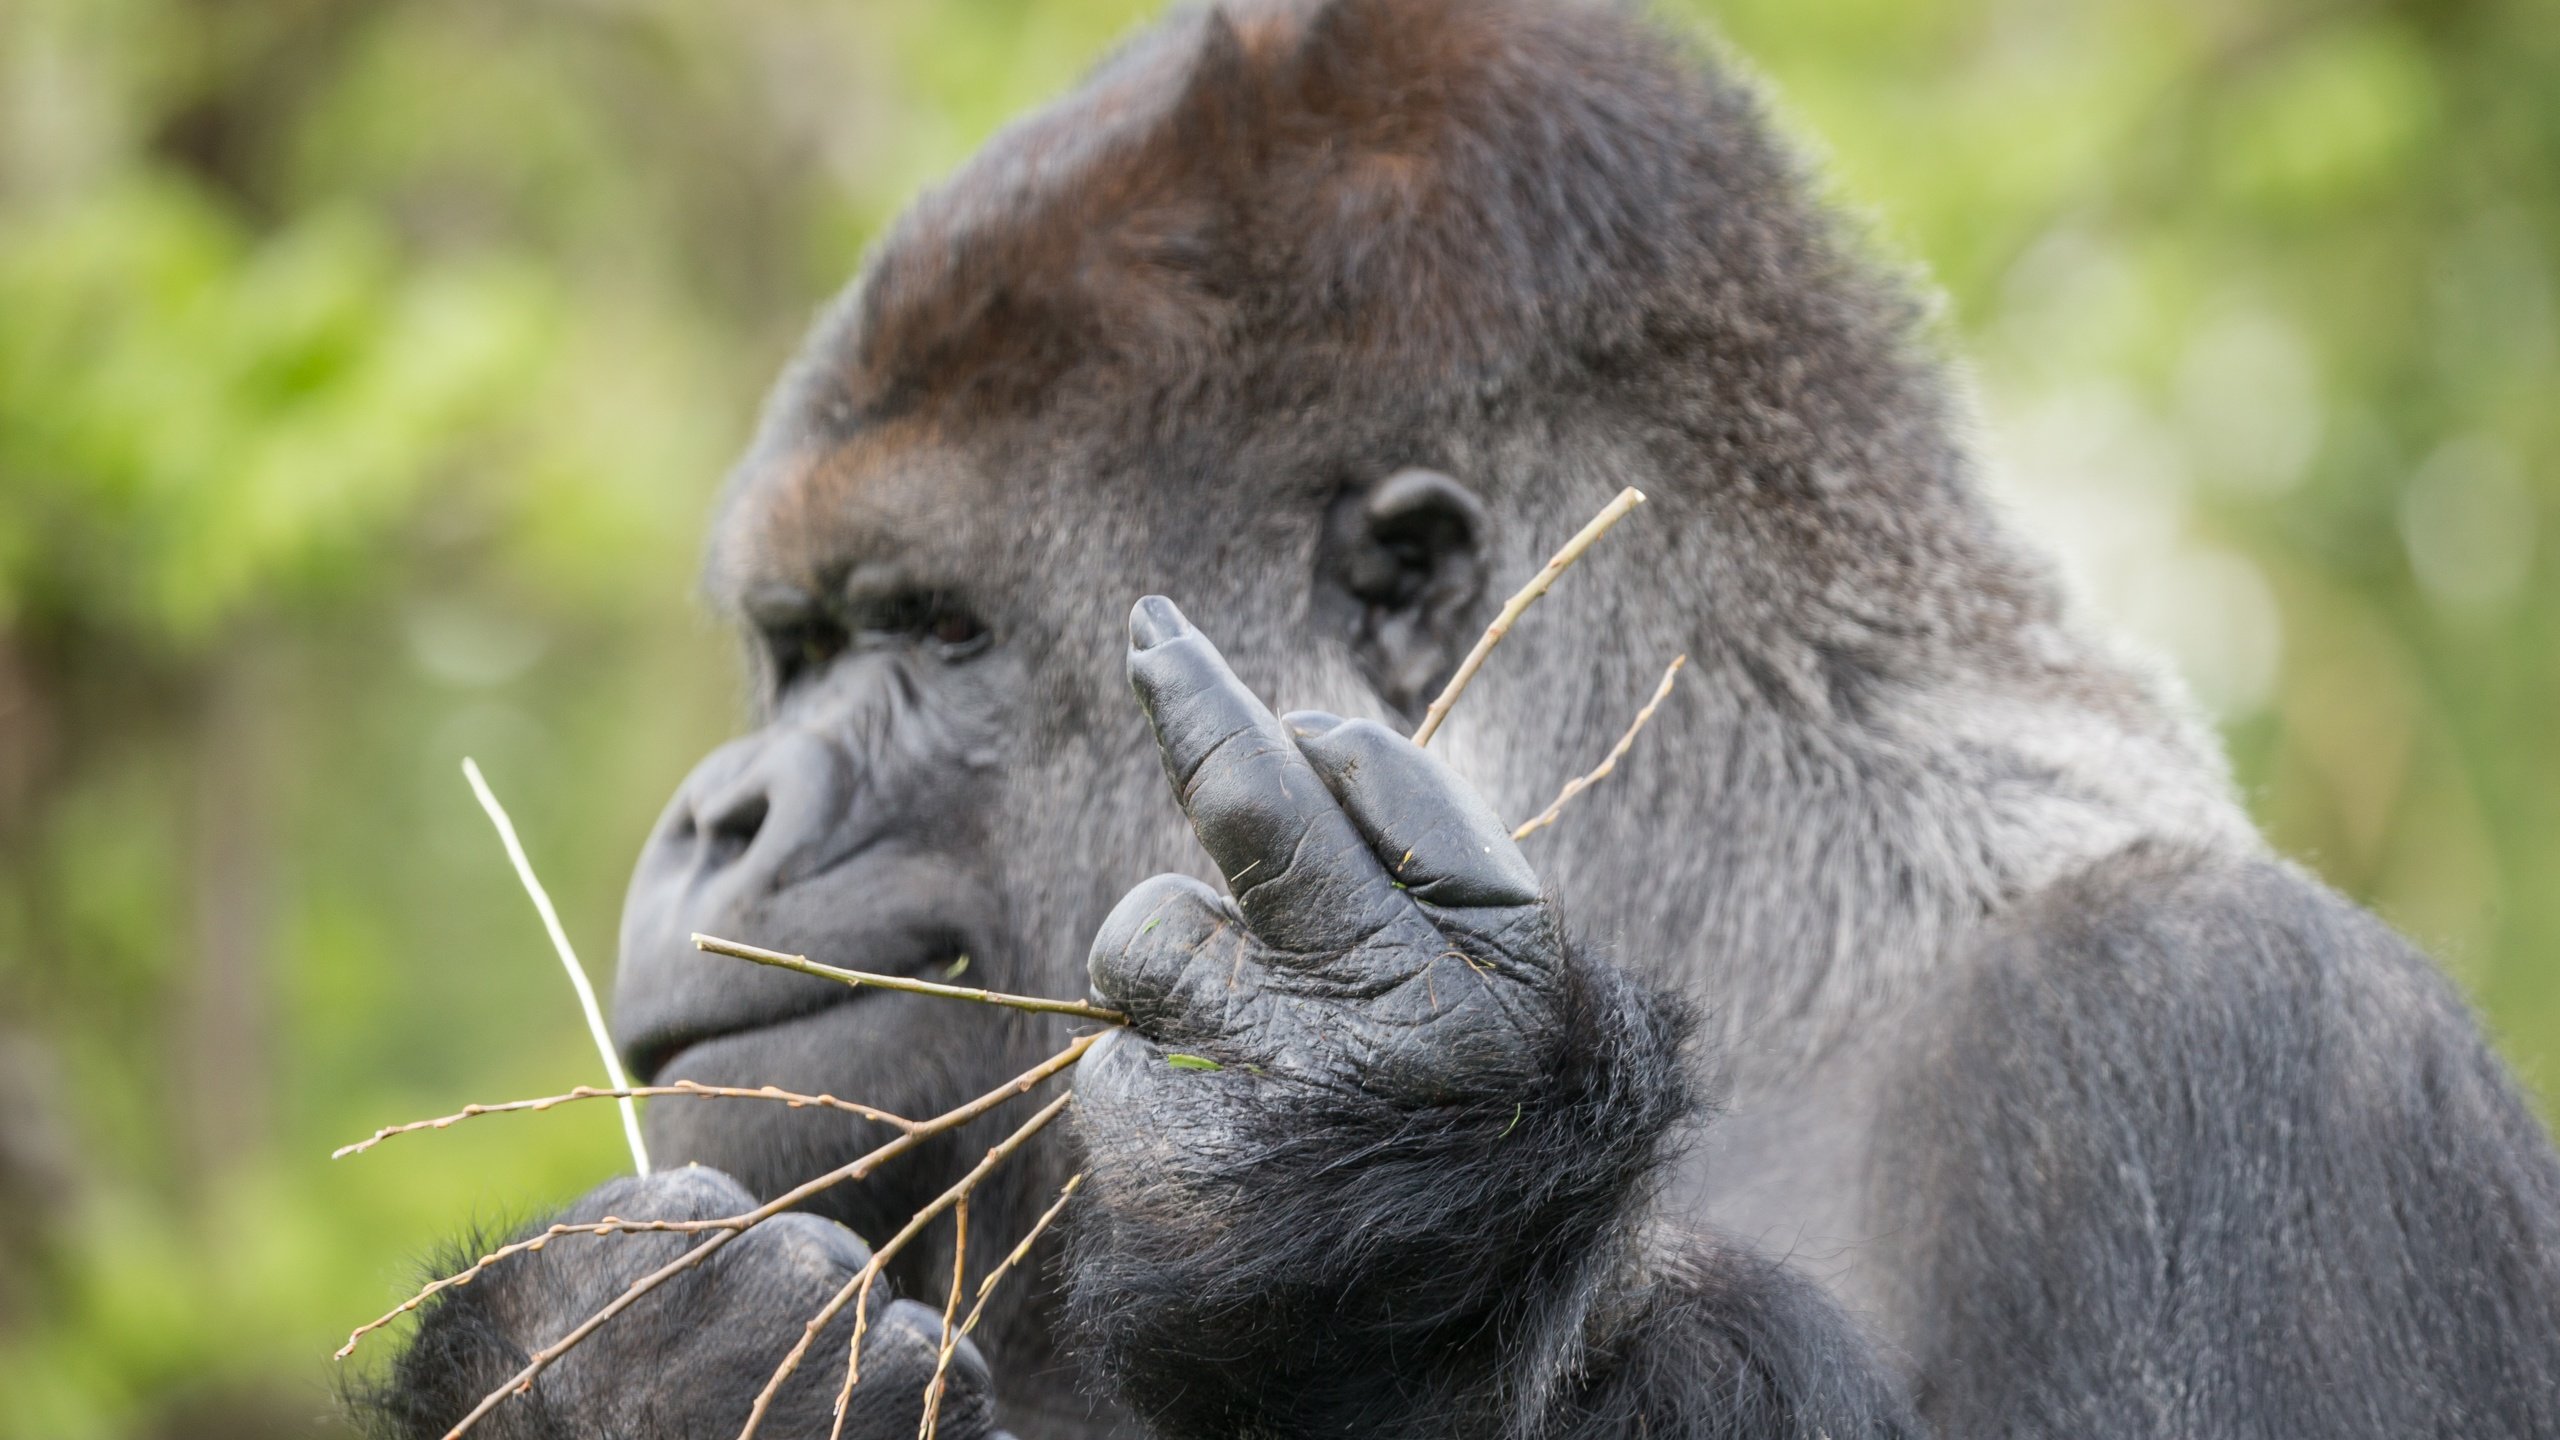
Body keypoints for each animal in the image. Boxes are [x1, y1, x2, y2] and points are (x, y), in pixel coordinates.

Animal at [360, 2, 2560, 1434]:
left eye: (929, 632)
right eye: (792, 647)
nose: (716, 815)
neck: (1750, 907)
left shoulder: (2237, 1035)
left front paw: (1369, 1213)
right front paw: (606, 1361)